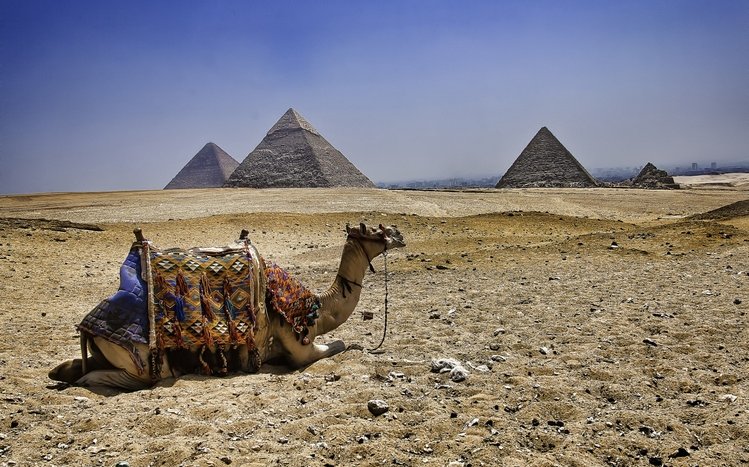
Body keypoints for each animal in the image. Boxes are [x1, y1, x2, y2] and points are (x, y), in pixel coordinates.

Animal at [49, 223, 405, 390]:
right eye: (377, 231)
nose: (399, 235)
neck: (316, 307)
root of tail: (88, 326)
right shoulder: (297, 345)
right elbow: (338, 344)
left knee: (74, 366)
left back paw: (60, 372)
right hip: (144, 363)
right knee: (108, 377)